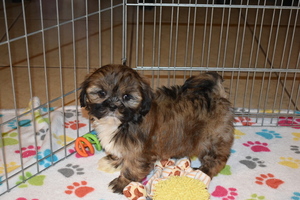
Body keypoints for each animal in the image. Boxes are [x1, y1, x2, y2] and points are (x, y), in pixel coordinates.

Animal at [79, 64, 234, 194]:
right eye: (101, 93)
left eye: (127, 97)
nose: (112, 106)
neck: (124, 123)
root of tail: (218, 97)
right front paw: (113, 161)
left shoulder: (140, 153)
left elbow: (132, 168)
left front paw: (122, 183)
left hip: (211, 139)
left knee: (216, 159)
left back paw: (203, 172)